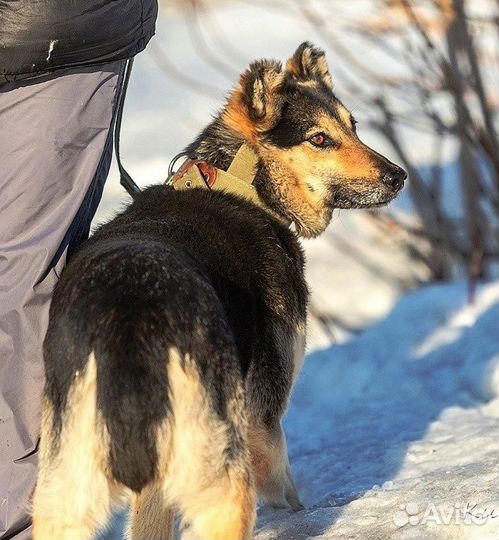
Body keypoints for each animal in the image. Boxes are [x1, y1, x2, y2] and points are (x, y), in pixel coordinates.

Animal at [32, 43, 406, 540]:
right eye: (319, 139)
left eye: (353, 126)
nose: (398, 175)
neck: (240, 183)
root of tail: (130, 319)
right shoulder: (264, 425)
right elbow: (290, 498)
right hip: (224, 481)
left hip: (64, 494)